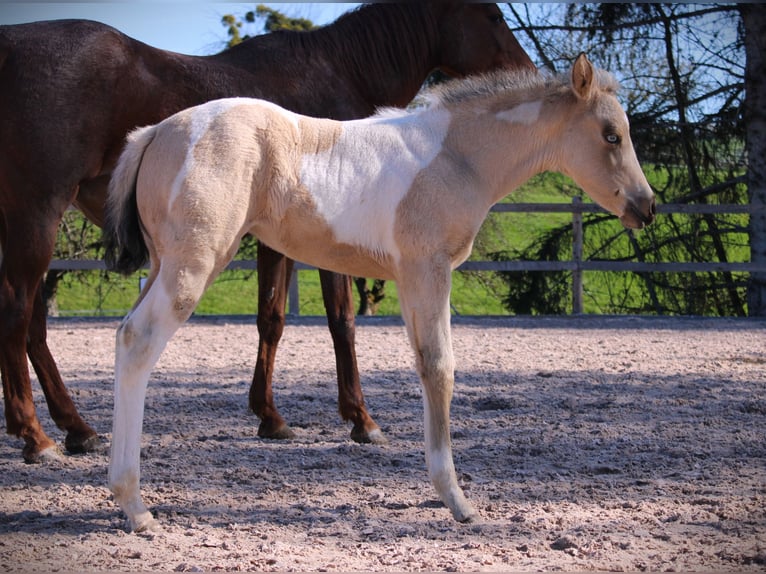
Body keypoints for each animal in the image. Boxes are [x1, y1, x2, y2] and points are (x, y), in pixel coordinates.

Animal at [0, 4, 534, 463]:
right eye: (493, 14)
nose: (528, 72)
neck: (339, 71)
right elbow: (341, 320)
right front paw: (361, 419)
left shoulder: (278, 242)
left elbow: (271, 319)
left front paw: (270, 417)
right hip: (38, 213)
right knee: (20, 311)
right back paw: (38, 436)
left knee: (31, 324)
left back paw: (71, 428)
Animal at [102, 54, 656, 531]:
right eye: (611, 135)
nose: (646, 206)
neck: (454, 155)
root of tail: (155, 131)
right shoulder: (427, 270)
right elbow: (440, 367)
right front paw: (457, 500)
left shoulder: (411, 280)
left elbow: (427, 366)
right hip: (192, 266)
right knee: (138, 341)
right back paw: (135, 506)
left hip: (162, 265)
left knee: (124, 337)